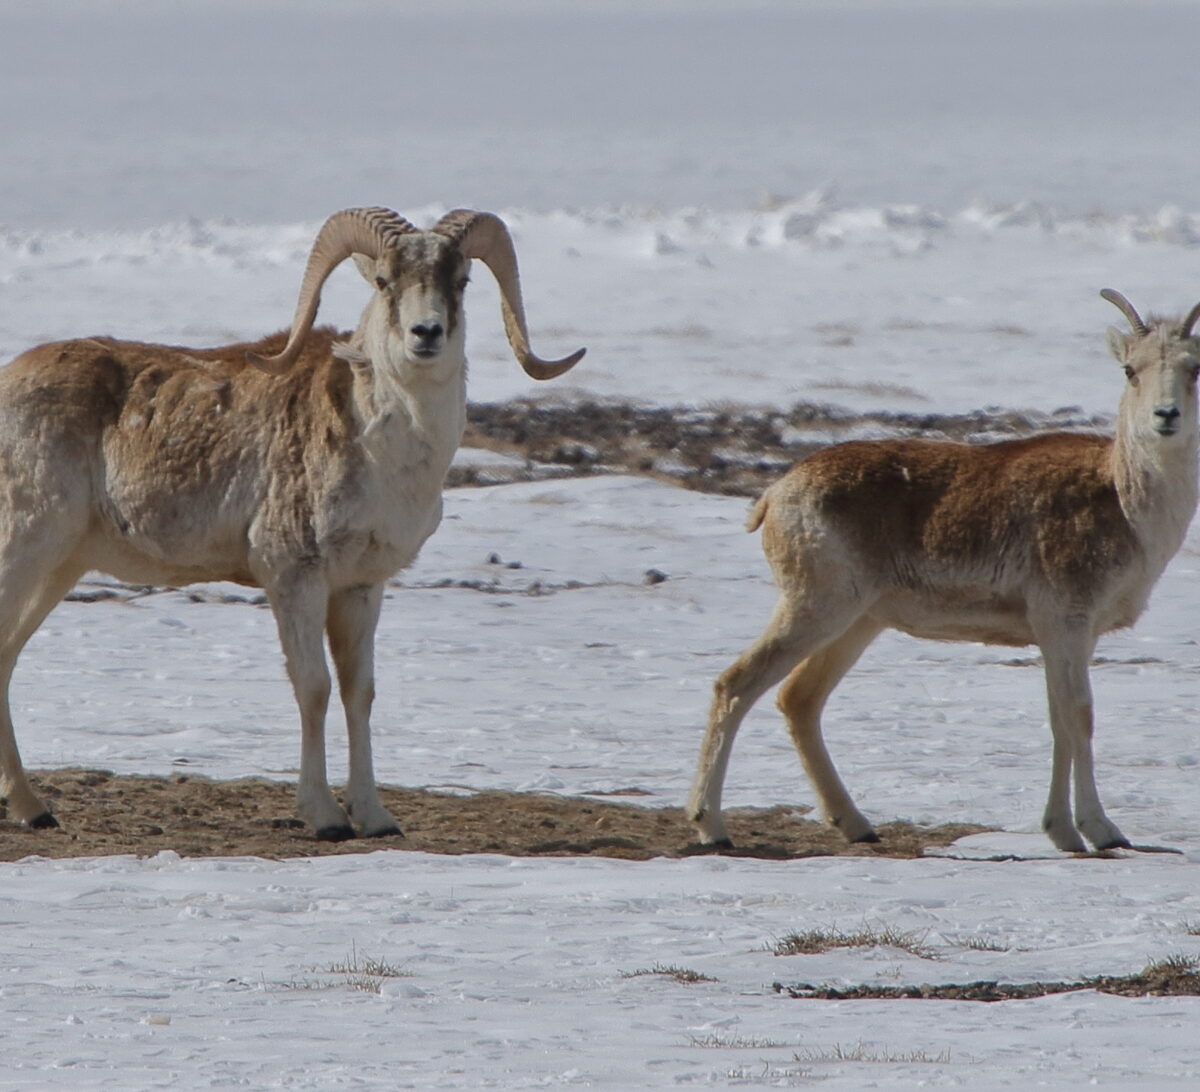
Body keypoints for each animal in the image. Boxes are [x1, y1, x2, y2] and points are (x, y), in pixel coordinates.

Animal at [0, 206, 584, 840]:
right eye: (385, 281)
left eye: (461, 281)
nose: (426, 334)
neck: (386, 452)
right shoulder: (294, 577)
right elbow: (315, 689)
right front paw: (325, 818)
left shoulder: (361, 587)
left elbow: (359, 692)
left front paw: (375, 819)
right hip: (25, 550)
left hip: (59, 569)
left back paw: (34, 810)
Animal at [687, 290, 1200, 853]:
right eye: (1131, 369)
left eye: (1194, 368)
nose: (1166, 416)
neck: (1124, 501)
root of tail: (776, 495)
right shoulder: (1064, 625)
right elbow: (1079, 717)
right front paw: (1100, 833)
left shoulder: (1068, 638)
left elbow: (1060, 722)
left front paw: (1065, 833)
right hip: (815, 610)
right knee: (736, 685)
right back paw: (711, 828)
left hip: (857, 624)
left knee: (799, 700)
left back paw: (857, 825)